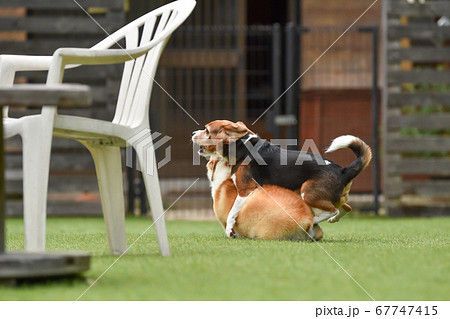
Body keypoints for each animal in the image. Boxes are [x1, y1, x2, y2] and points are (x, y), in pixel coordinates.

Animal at [192, 120, 370, 238]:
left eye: (207, 130)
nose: (193, 134)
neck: (241, 145)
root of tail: (342, 170)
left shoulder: (244, 191)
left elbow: (231, 213)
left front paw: (230, 229)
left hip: (308, 193)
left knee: (332, 210)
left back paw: (316, 219)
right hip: (328, 197)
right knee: (345, 208)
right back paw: (333, 219)